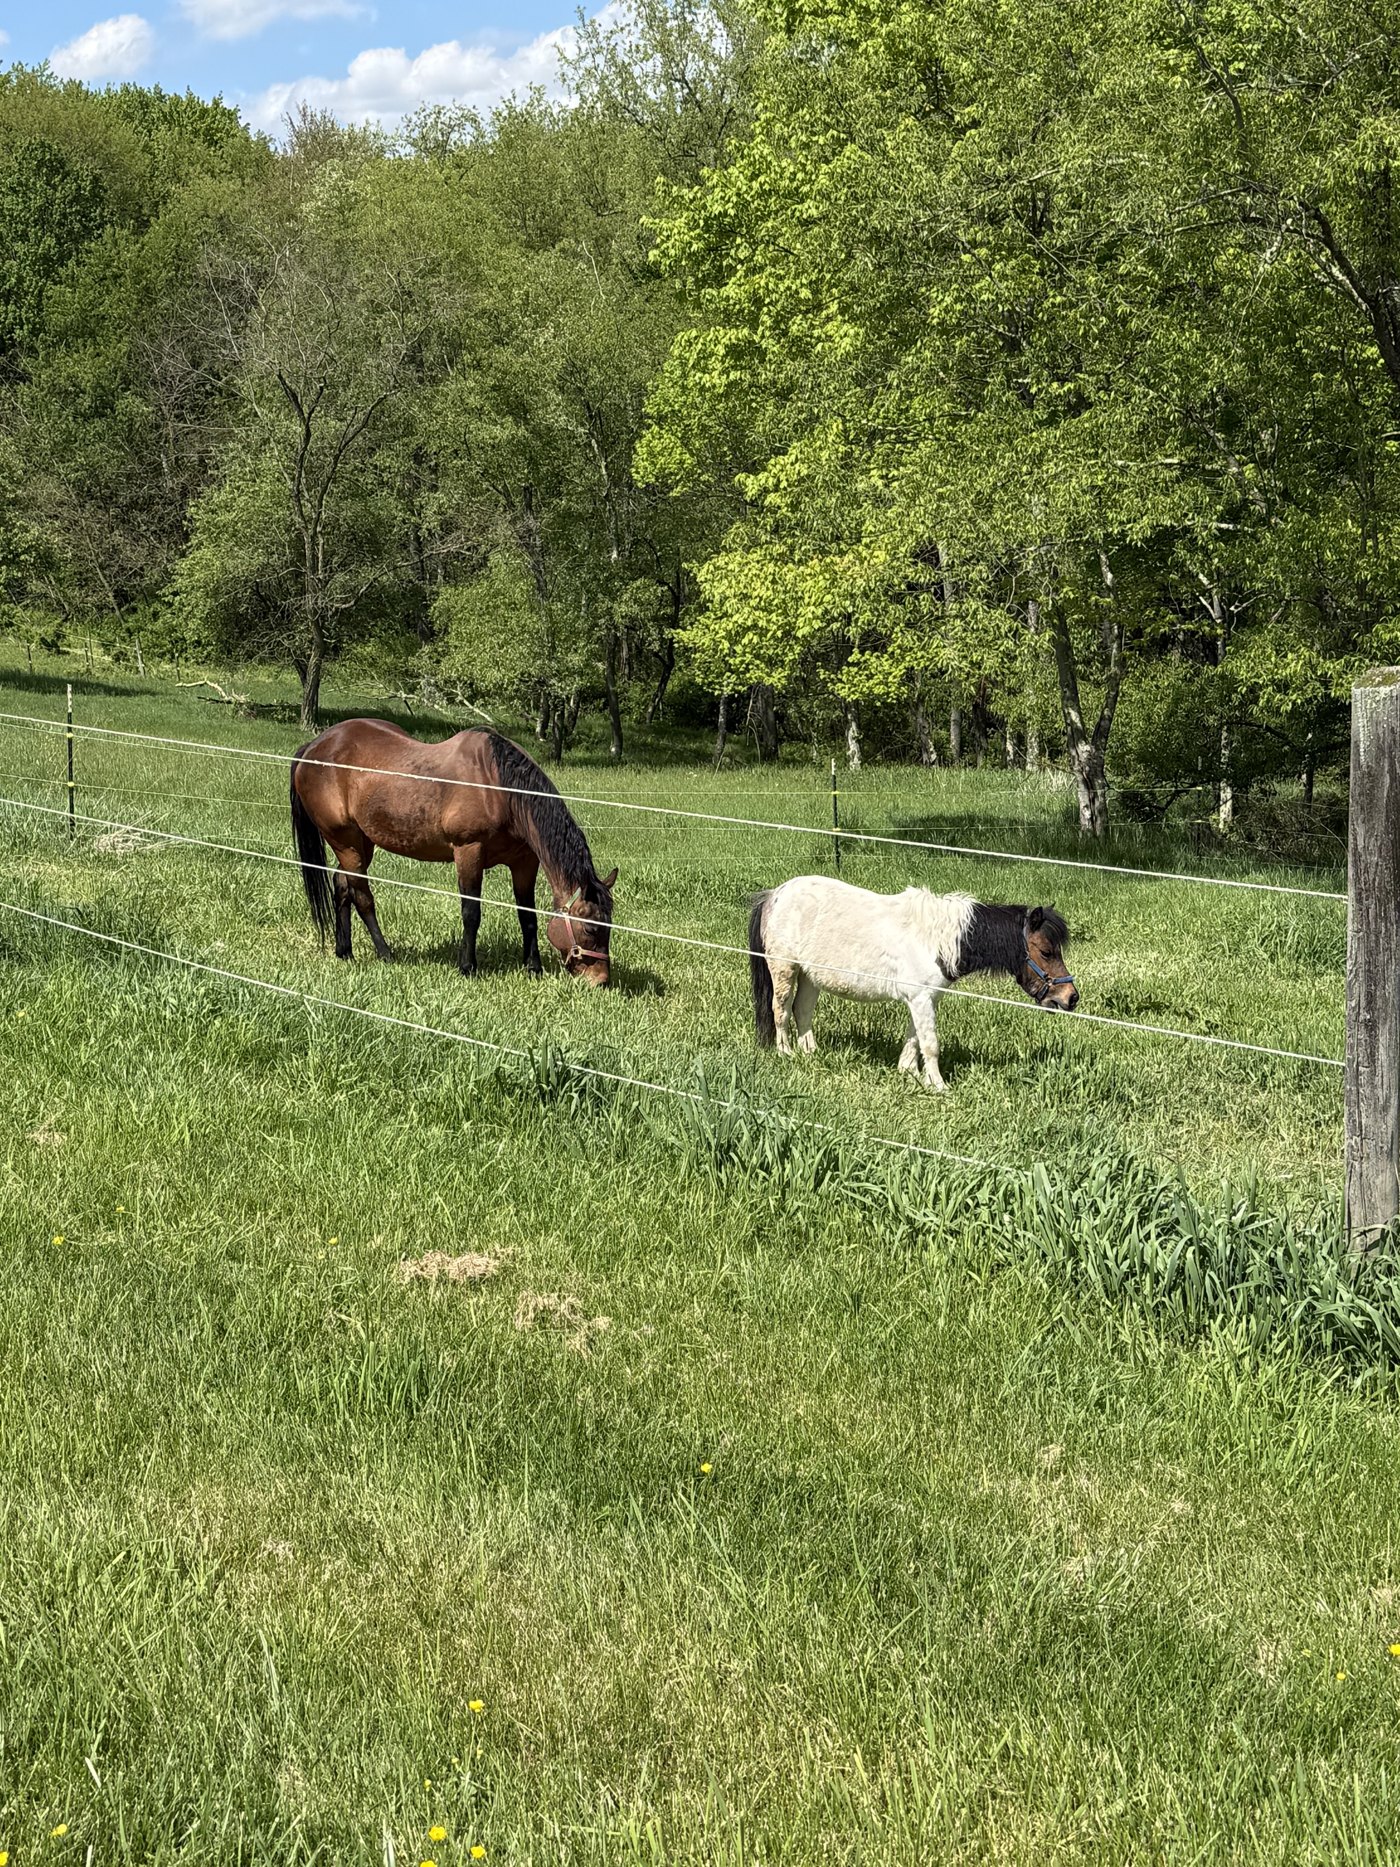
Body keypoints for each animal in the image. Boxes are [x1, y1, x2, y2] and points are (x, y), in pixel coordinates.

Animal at [289, 720, 617, 986]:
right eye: (590, 928)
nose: (600, 981)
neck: (499, 787)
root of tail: (314, 747)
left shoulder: (524, 862)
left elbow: (528, 915)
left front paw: (533, 967)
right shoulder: (469, 852)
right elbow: (471, 912)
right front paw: (467, 967)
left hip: (361, 843)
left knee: (341, 886)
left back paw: (344, 951)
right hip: (346, 842)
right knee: (361, 896)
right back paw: (385, 953)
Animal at [748, 876, 1077, 1090]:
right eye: (1046, 952)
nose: (1070, 997)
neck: (939, 940)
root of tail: (774, 895)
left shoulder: (924, 999)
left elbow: (915, 1039)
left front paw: (909, 1073)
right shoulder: (920, 999)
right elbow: (930, 1044)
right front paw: (939, 1086)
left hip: (810, 975)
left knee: (803, 1012)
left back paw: (811, 1053)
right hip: (784, 968)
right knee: (781, 1010)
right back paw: (786, 1053)